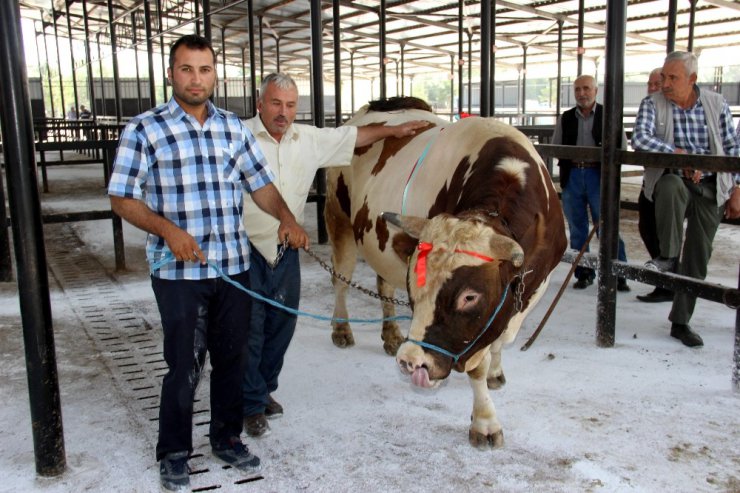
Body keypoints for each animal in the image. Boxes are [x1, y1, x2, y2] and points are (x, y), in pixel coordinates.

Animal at [324, 96, 568, 446]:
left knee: (383, 285)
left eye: (469, 297)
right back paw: (342, 329)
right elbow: (477, 364)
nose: (411, 361)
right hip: (338, 218)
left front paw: (496, 372)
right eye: (414, 289)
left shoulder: (535, 285)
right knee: (340, 279)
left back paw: (391, 335)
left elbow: (497, 337)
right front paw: (485, 421)